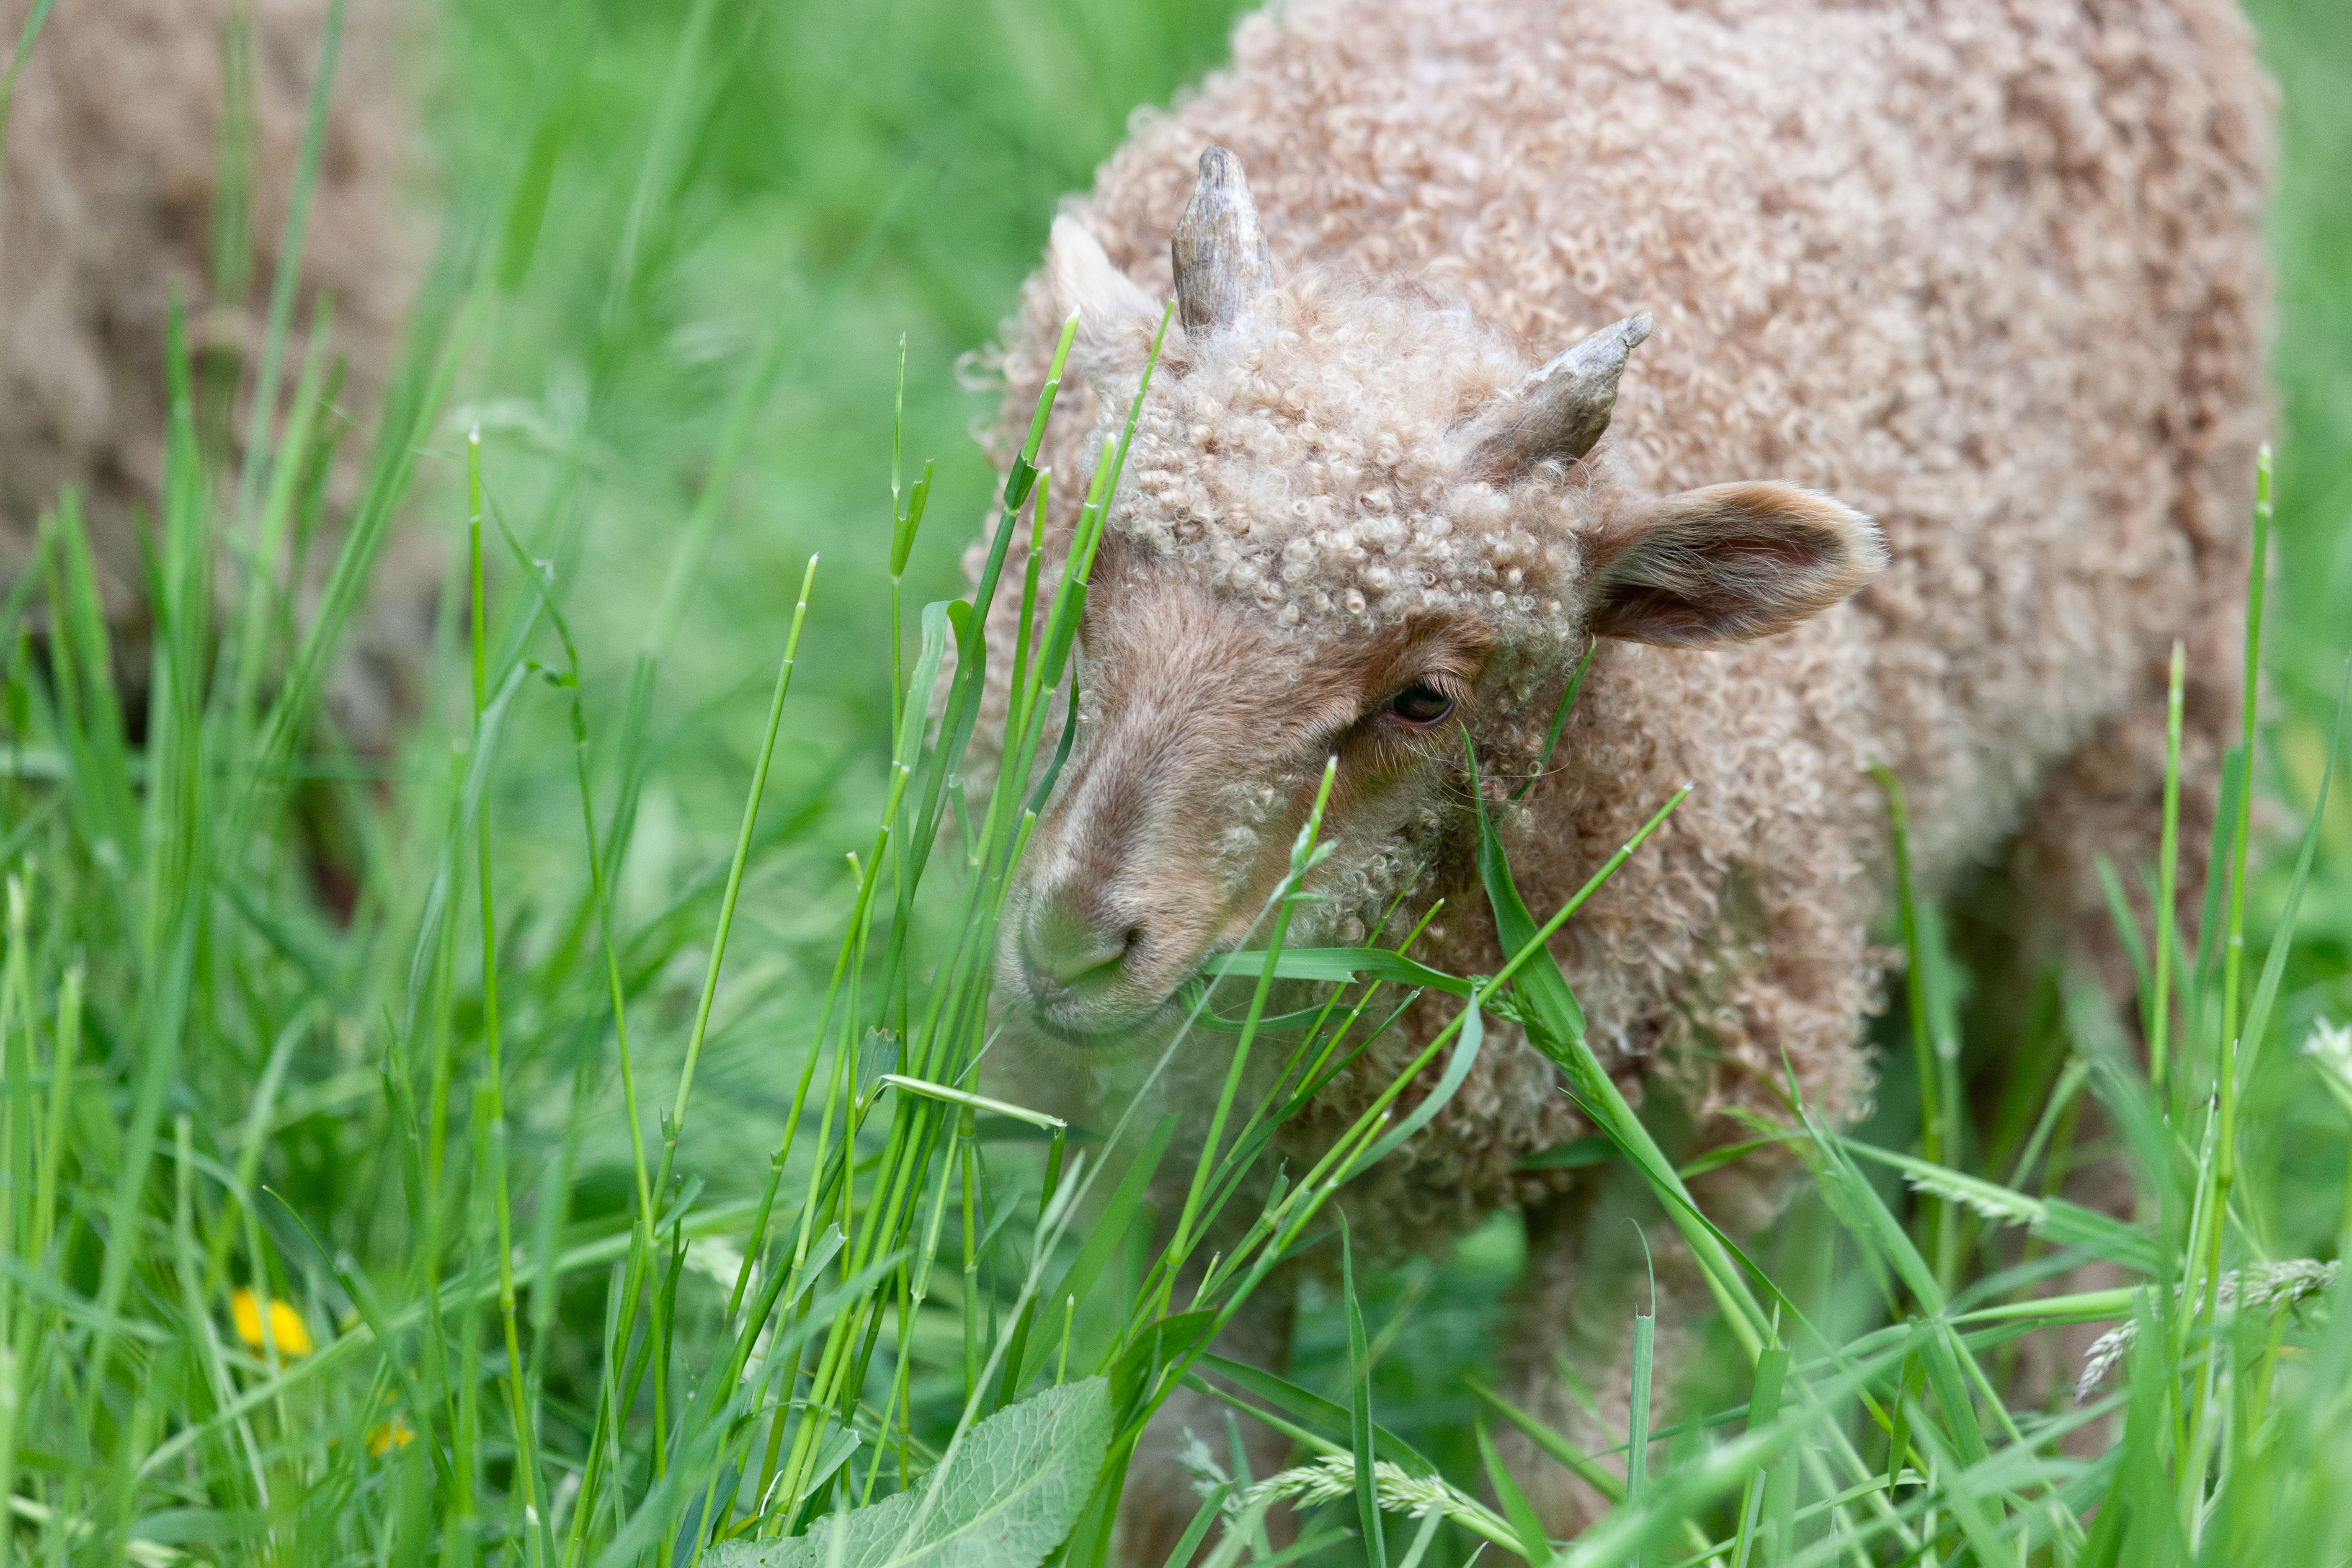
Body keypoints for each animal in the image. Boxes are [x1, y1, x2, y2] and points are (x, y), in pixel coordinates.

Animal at [968, 0, 2270, 1553]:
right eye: (1089, 559)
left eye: (1425, 695)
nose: (1074, 944)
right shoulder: (1165, 1141)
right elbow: (1186, 1480)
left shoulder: (1693, 1124)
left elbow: (1575, 1484)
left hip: (2153, 713)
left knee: (2099, 1081)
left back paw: (2064, 1441)